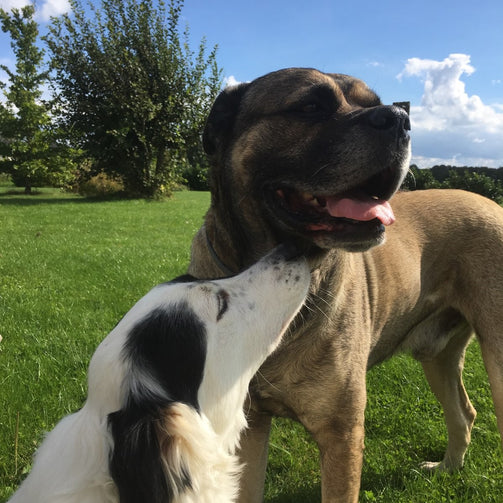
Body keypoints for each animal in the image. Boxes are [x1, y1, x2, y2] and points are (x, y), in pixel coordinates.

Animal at [187, 68, 503, 503]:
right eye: (310, 106)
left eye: (378, 103)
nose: (399, 118)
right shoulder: (248, 424)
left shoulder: (342, 434)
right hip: (437, 355)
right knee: (464, 413)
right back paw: (447, 468)